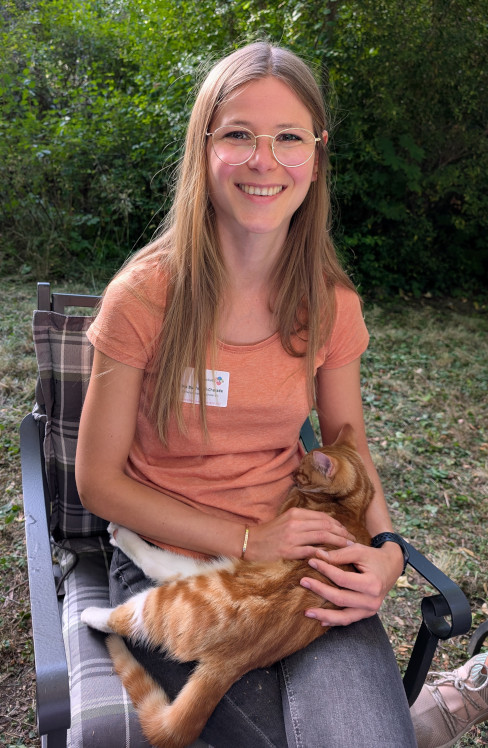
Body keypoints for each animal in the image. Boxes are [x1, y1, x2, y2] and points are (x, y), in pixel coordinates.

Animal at [81, 424, 373, 748]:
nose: (293, 476)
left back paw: (94, 605)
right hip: (204, 569)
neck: (351, 506)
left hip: (173, 596)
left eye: (302, 471)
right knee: (160, 565)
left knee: (130, 606)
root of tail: (233, 660)